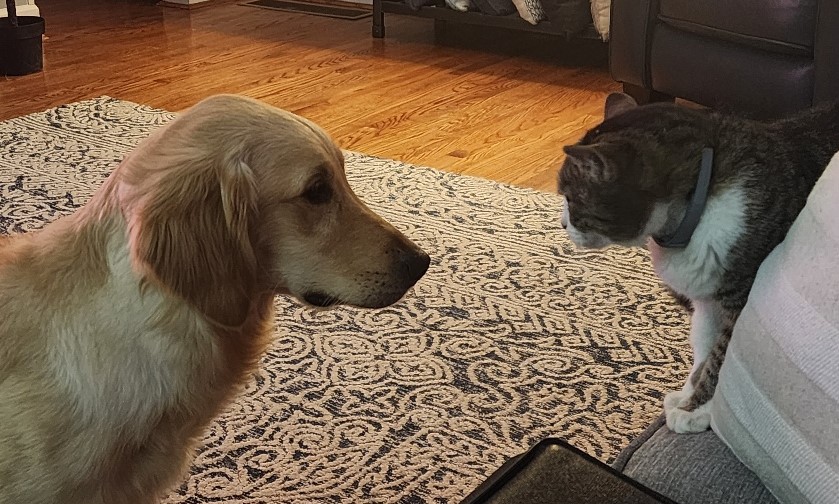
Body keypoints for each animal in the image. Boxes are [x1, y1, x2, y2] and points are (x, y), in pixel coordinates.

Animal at [556, 92, 839, 432]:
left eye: (570, 199)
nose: (562, 224)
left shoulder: (741, 300)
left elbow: (721, 358)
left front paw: (696, 410)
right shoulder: (707, 300)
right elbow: (705, 347)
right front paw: (689, 396)